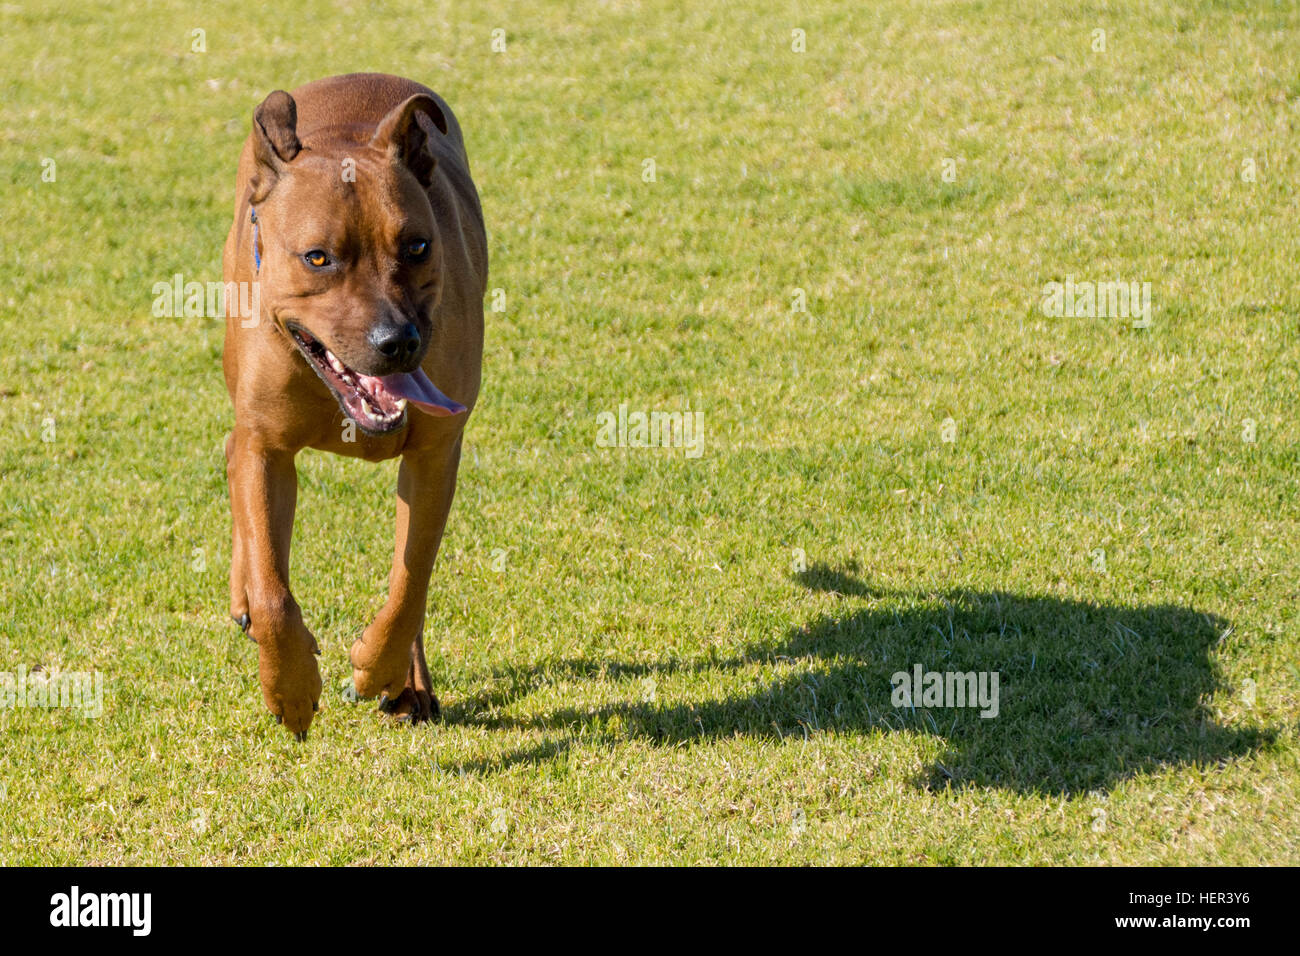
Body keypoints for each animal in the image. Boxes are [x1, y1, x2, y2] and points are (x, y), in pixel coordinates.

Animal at [220, 74, 486, 738]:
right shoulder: (268, 447)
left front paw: (380, 668)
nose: (398, 342)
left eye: (417, 246)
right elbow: (273, 590)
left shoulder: (435, 454)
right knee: (235, 455)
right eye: (318, 257)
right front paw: (289, 686)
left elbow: (410, 581)